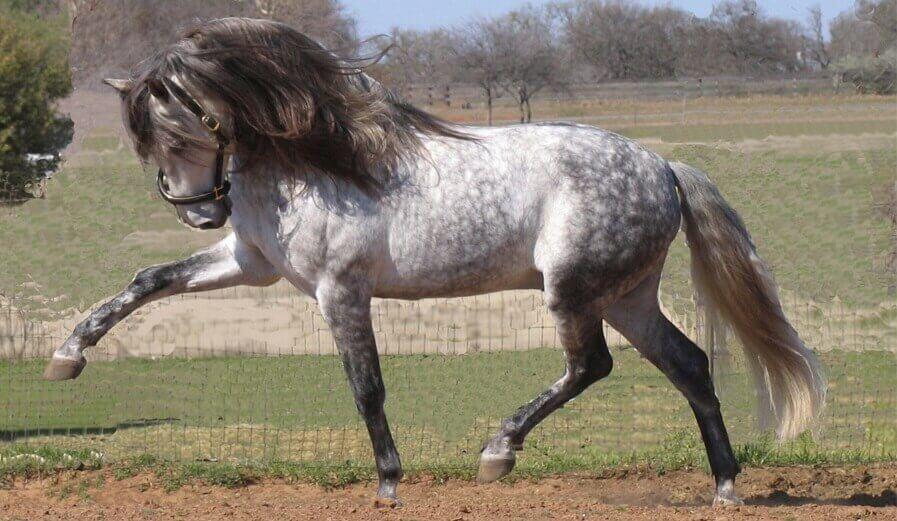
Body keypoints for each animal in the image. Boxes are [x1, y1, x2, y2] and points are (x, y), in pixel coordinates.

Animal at [45, 18, 826, 506]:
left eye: (185, 129)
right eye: (149, 142)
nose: (199, 211)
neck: (315, 162)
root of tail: (662, 166)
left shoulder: (339, 291)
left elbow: (367, 387)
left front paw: (389, 482)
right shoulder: (249, 261)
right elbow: (148, 281)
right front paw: (68, 355)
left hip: (573, 291)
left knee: (591, 365)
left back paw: (498, 452)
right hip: (626, 296)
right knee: (687, 363)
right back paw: (724, 486)